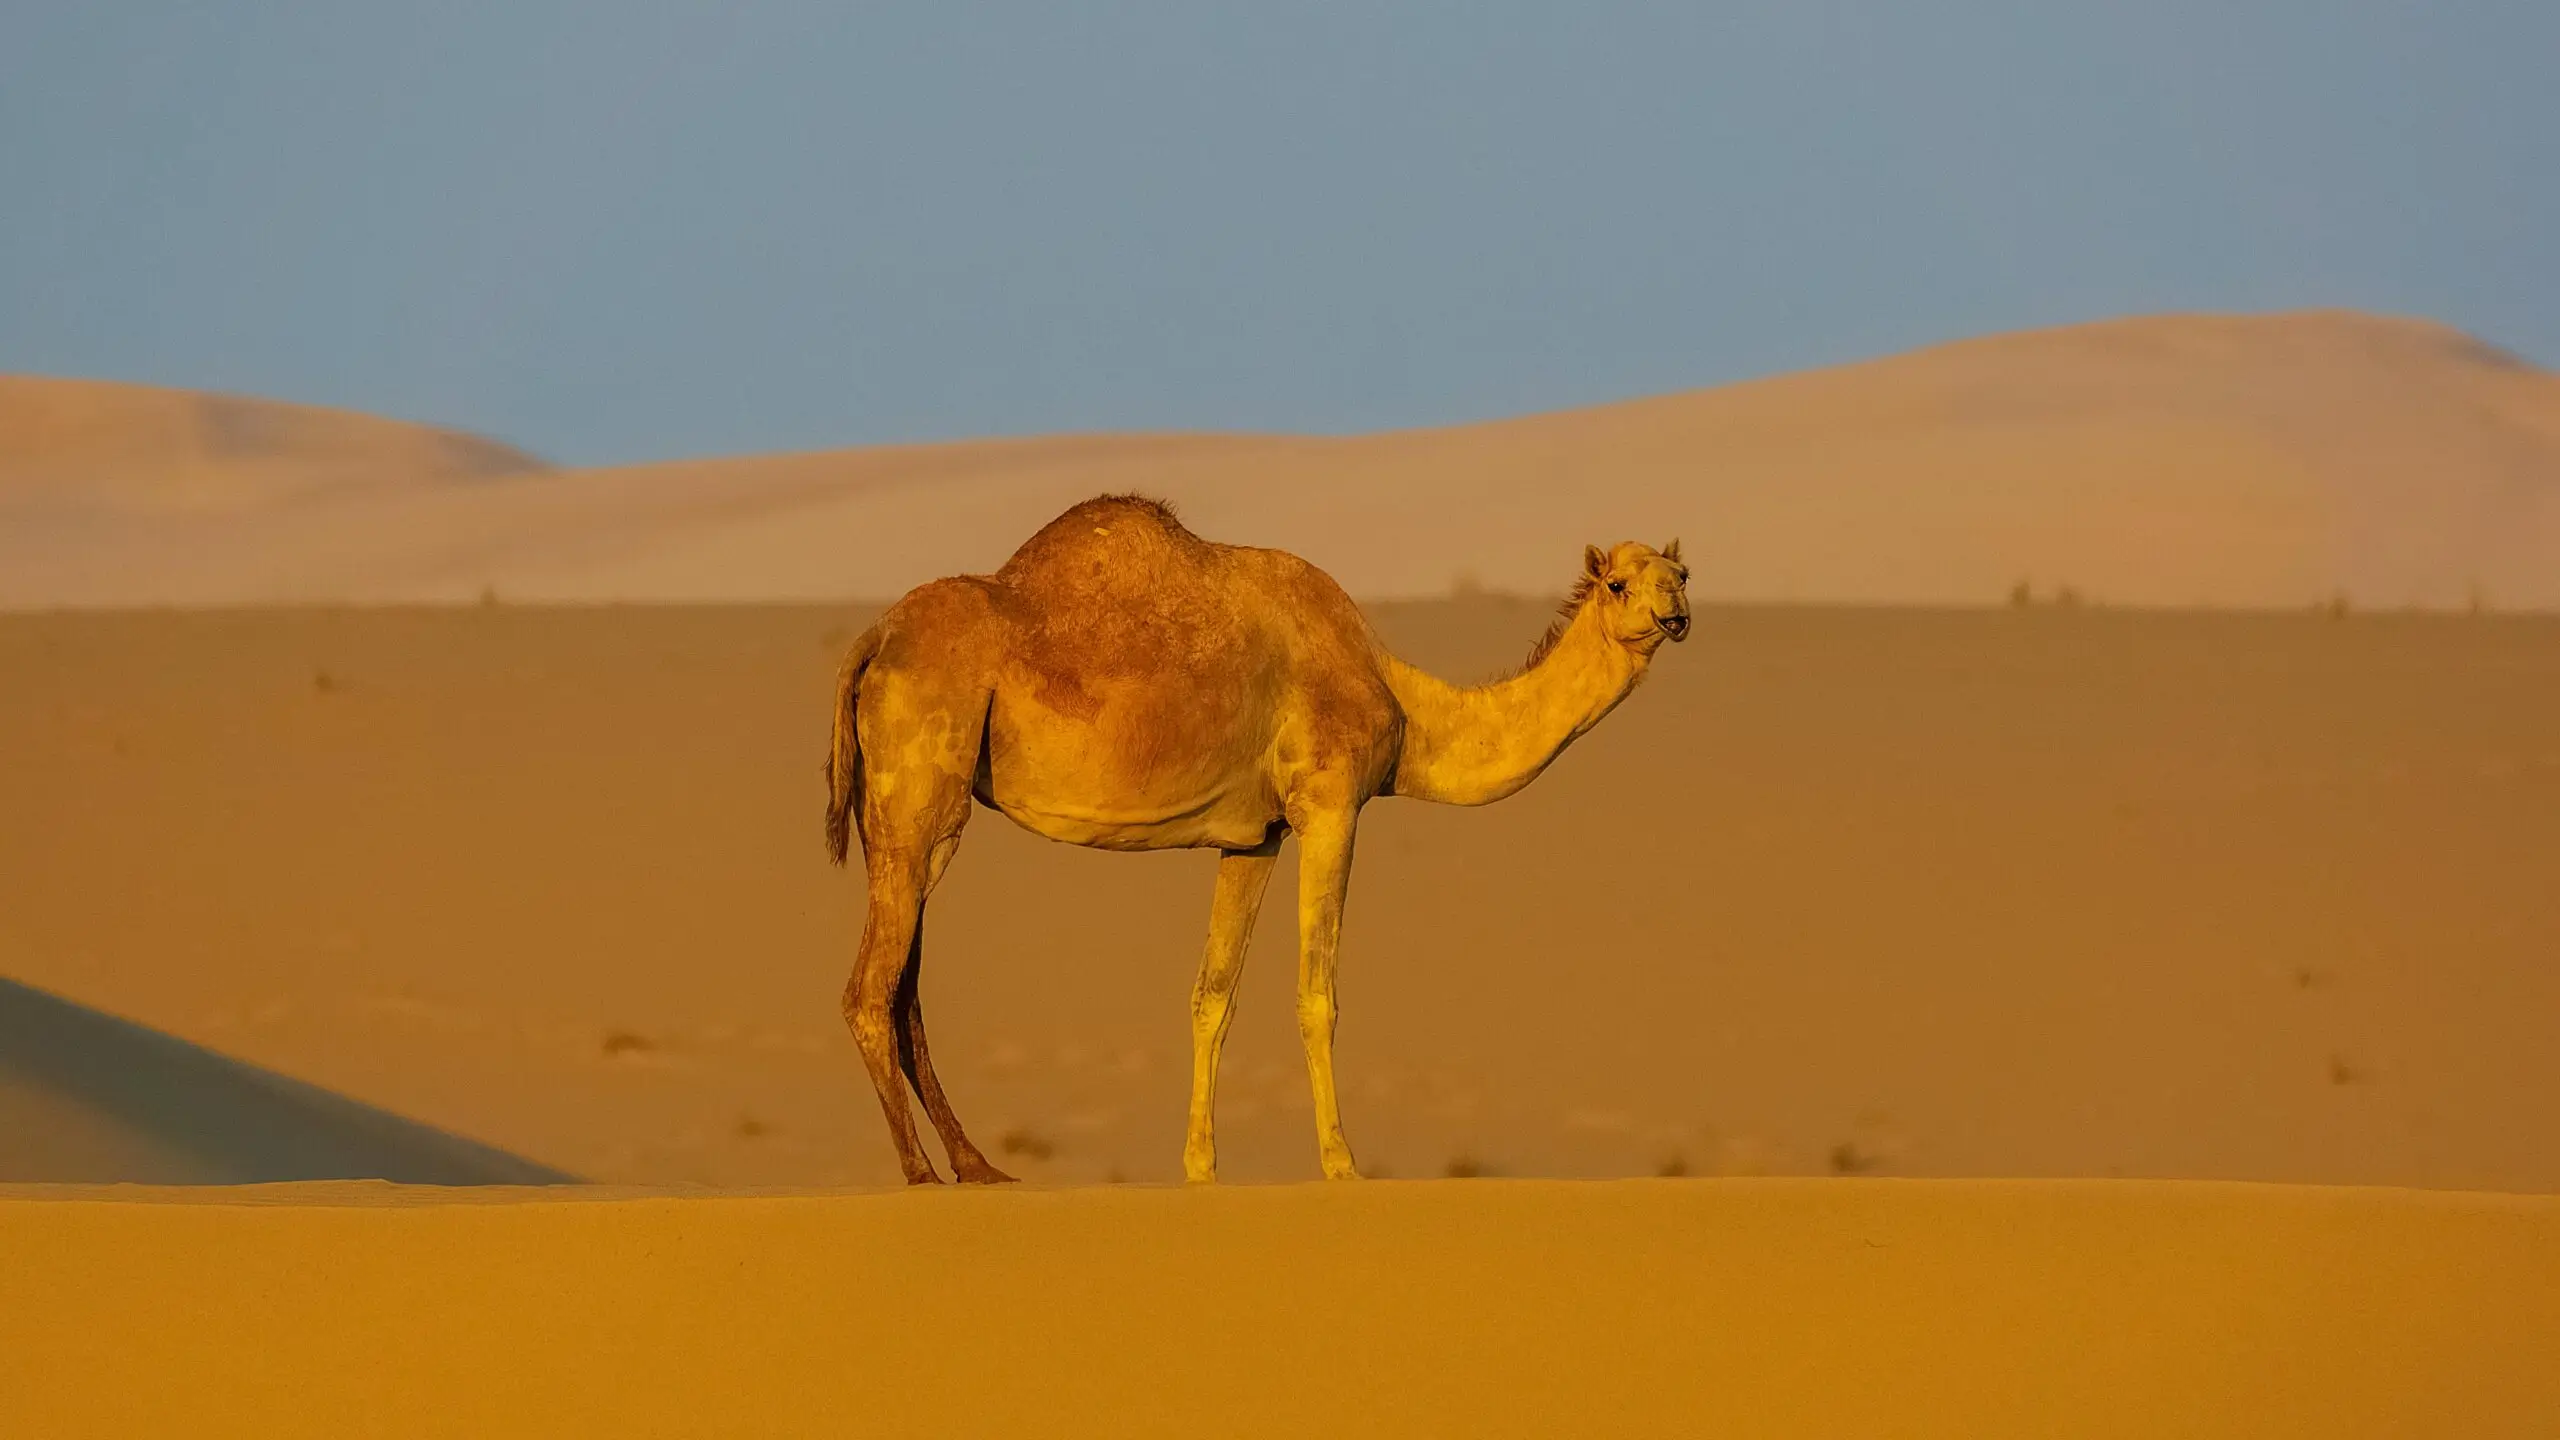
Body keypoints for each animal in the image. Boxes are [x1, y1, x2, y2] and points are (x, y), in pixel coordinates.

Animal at [824, 494, 1690, 1184]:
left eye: (1679, 574)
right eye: (1620, 583)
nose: (1674, 616)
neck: (1403, 702)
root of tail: (873, 640)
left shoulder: (1255, 836)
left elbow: (1212, 996)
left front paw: (1201, 1167)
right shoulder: (1331, 802)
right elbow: (1317, 993)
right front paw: (1341, 1164)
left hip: (894, 813)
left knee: (903, 990)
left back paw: (977, 1167)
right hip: (922, 792)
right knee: (870, 990)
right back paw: (920, 1173)